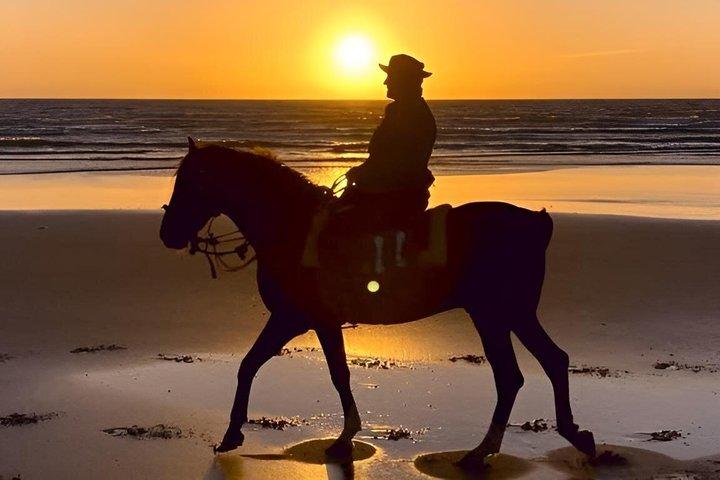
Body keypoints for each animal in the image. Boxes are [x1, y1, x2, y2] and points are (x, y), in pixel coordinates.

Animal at [159, 138, 596, 467]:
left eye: (192, 180)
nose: (168, 233)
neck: (293, 226)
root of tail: (535, 222)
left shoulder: (297, 319)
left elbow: (276, 368)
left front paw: (238, 433)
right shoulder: (310, 321)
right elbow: (297, 370)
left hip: (494, 315)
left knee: (511, 375)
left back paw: (481, 452)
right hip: (512, 315)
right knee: (550, 361)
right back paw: (572, 436)